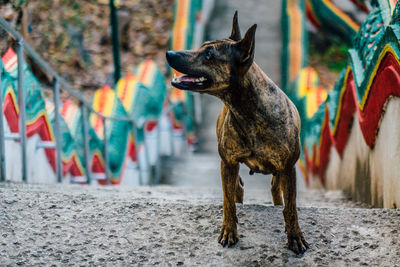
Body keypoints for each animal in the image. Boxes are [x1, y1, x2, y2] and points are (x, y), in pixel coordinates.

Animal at [166, 11, 310, 254]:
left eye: (209, 54)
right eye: (203, 47)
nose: (169, 53)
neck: (248, 111)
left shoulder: (288, 168)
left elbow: (291, 207)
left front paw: (295, 236)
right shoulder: (228, 163)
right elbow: (228, 202)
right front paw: (229, 231)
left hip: (279, 175)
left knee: (277, 194)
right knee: (237, 191)